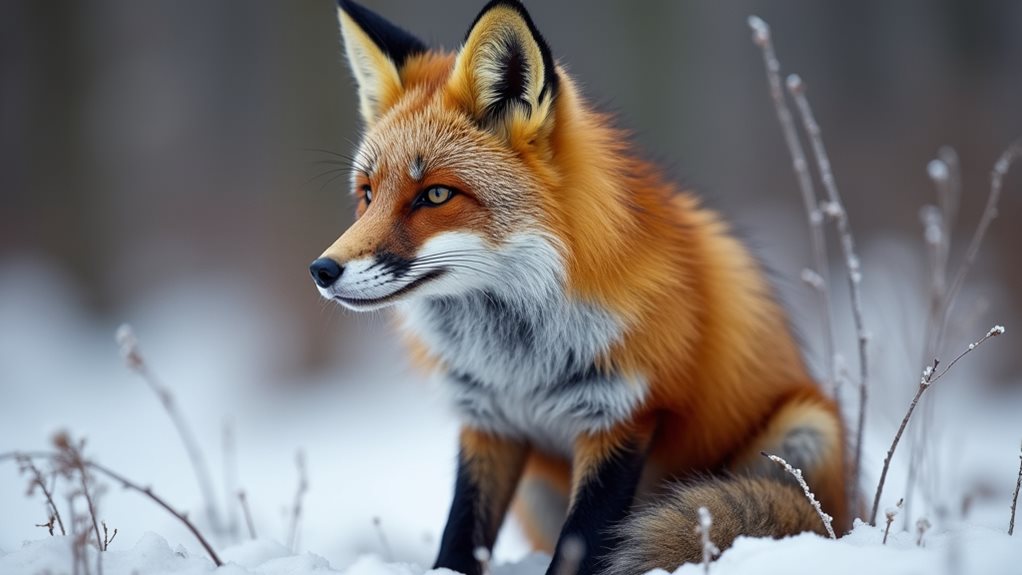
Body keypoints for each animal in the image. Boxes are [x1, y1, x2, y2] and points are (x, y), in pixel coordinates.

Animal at [309, 1, 851, 574]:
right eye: (367, 194)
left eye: (435, 195)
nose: (322, 270)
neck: (517, 361)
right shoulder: (488, 421)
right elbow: (459, 538)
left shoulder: (623, 414)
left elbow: (581, 544)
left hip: (807, 430)